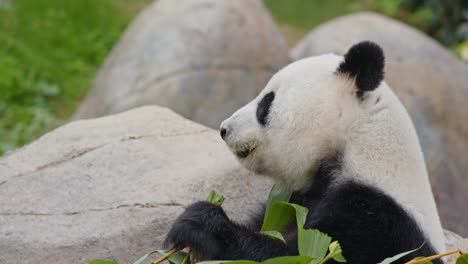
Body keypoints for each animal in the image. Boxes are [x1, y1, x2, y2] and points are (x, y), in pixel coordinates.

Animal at [165, 41, 446, 264]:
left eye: (266, 102)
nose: (224, 129)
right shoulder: (298, 198)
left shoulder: (377, 223)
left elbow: (300, 254)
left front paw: (197, 223)